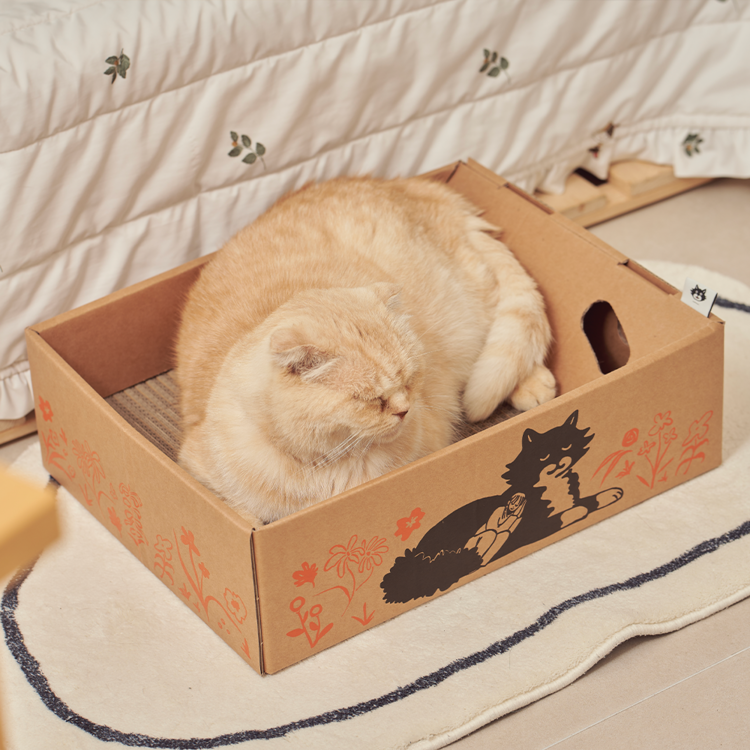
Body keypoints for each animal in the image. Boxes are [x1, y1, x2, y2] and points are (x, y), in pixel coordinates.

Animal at [174, 175, 556, 524]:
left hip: (467, 316)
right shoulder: (198, 471)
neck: (327, 472)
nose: (405, 410)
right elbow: (242, 514)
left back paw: (535, 387)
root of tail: (411, 184)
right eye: (370, 399)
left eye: (409, 380)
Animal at [380, 410, 624, 603]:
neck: (555, 485)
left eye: (566, 445)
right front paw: (580, 510)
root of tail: (415, 553)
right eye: (544, 456)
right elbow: (568, 513)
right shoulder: (533, 526)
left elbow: (590, 499)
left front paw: (611, 493)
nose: (558, 463)